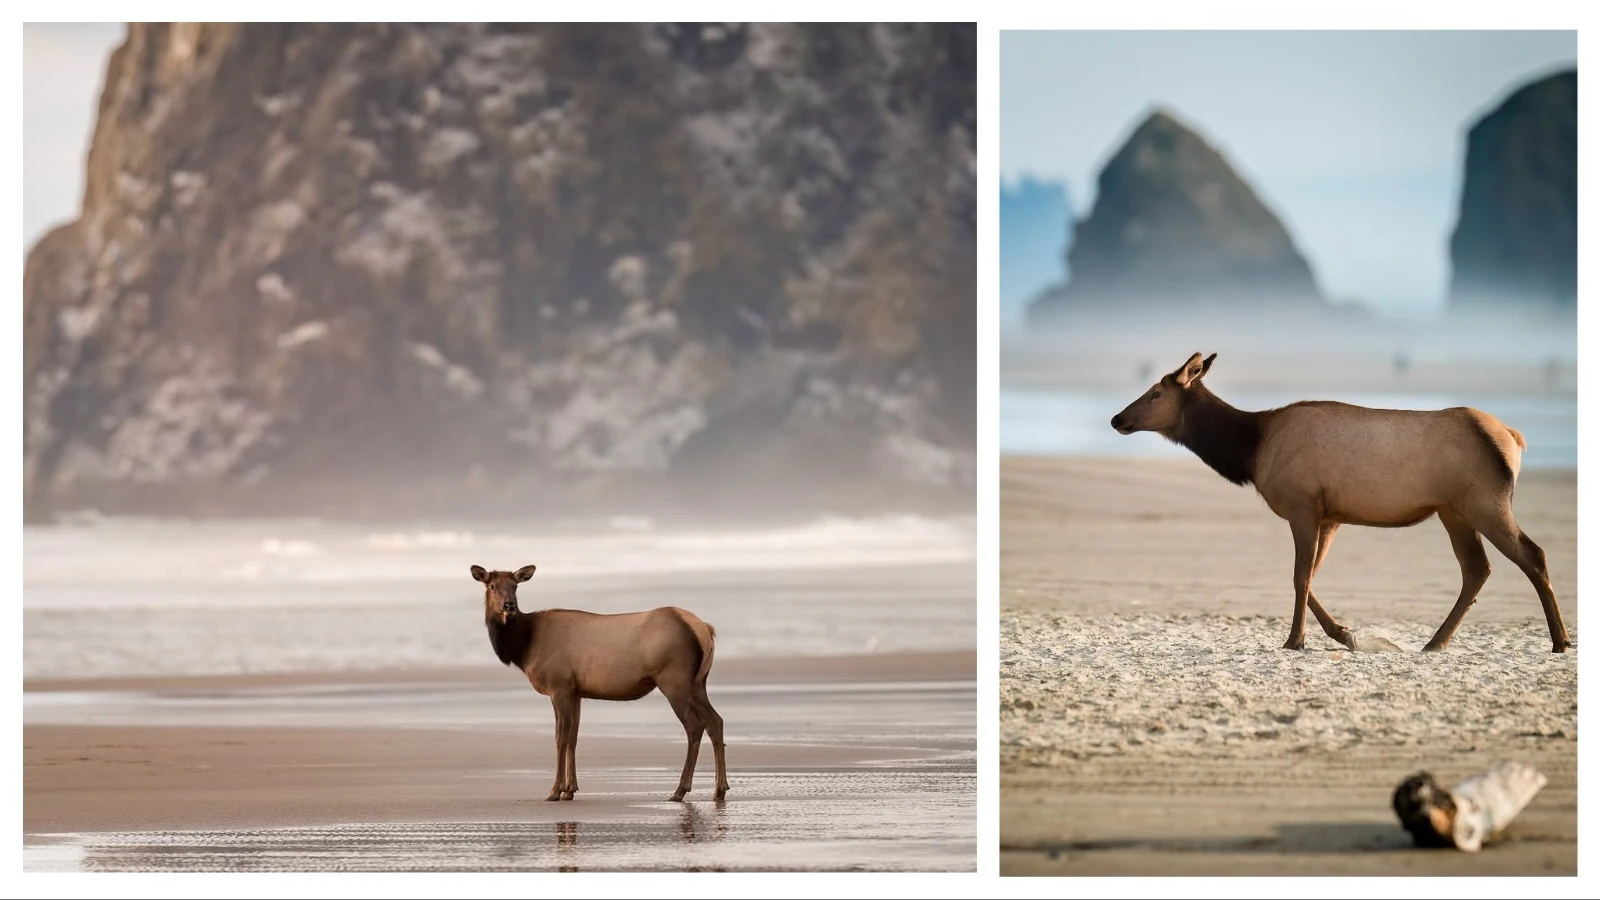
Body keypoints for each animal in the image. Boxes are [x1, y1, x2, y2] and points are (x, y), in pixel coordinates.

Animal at [471, 564, 729, 802]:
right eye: (492, 585)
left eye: (515, 586)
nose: (509, 606)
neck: (523, 647)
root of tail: (705, 629)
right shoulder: (575, 690)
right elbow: (573, 736)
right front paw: (570, 789)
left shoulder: (558, 684)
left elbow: (560, 736)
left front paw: (555, 790)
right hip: (698, 682)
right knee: (716, 721)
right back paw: (719, 789)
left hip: (674, 679)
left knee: (695, 726)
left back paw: (680, 790)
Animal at [1109, 352, 1571, 654]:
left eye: (1155, 392)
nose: (1117, 418)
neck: (1251, 452)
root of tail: (1512, 437)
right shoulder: (1330, 516)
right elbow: (1311, 576)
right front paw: (1344, 634)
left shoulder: (1302, 505)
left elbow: (1299, 577)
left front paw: (1295, 640)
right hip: (1453, 510)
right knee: (1477, 569)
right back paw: (1435, 642)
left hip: (1485, 501)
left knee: (1533, 554)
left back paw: (1560, 640)